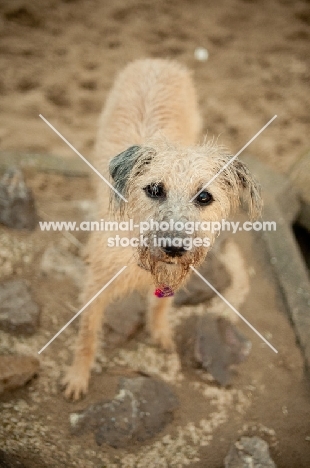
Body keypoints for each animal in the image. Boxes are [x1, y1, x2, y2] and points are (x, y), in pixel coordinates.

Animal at [61, 58, 260, 400]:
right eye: (154, 190)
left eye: (204, 197)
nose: (174, 247)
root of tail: (157, 61)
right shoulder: (95, 289)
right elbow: (87, 335)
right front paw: (78, 376)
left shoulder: (175, 276)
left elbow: (162, 305)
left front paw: (160, 333)